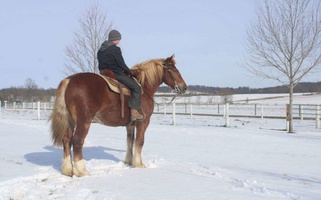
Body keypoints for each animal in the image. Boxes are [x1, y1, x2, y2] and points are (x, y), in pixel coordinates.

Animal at [48, 54, 186, 177]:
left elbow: (130, 141)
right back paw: (81, 171)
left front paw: (129, 161)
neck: (144, 87)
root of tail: (69, 81)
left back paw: (67, 170)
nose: (184, 87)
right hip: (84, 122)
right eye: (174, 70)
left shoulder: (130, 125)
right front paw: (139, 164)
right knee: (77, 141)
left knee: (66, 140)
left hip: (70, 122)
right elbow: (139, 141)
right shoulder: (143, 122)